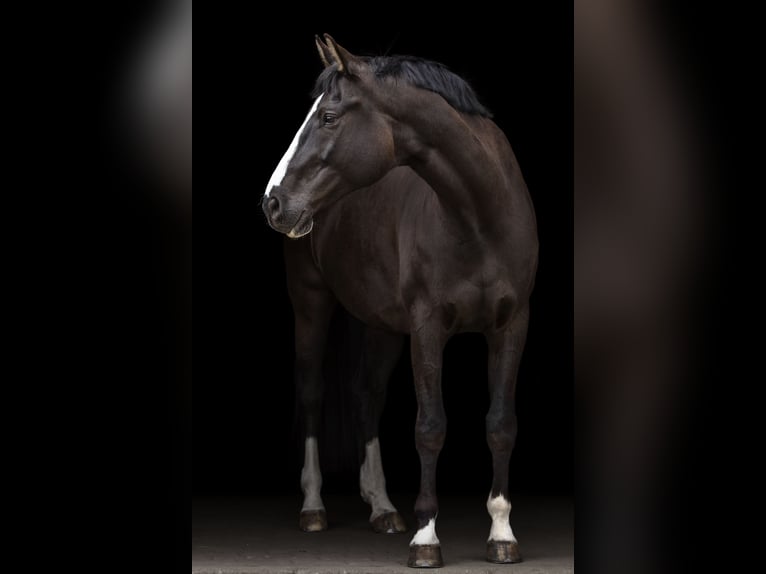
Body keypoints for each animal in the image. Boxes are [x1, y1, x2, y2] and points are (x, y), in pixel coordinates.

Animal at [262, 34, 538, 568]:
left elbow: (501, 425)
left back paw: (383, 507)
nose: (273, 201)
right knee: (312, 391)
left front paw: (501, 533)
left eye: (329, 116)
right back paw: (313, 507)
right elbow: (429, 426)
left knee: (367, 392)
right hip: (311, 303)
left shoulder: (511, 326)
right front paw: (426, 538)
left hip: (382, 323)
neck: (480, 217)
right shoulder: (428, 327)